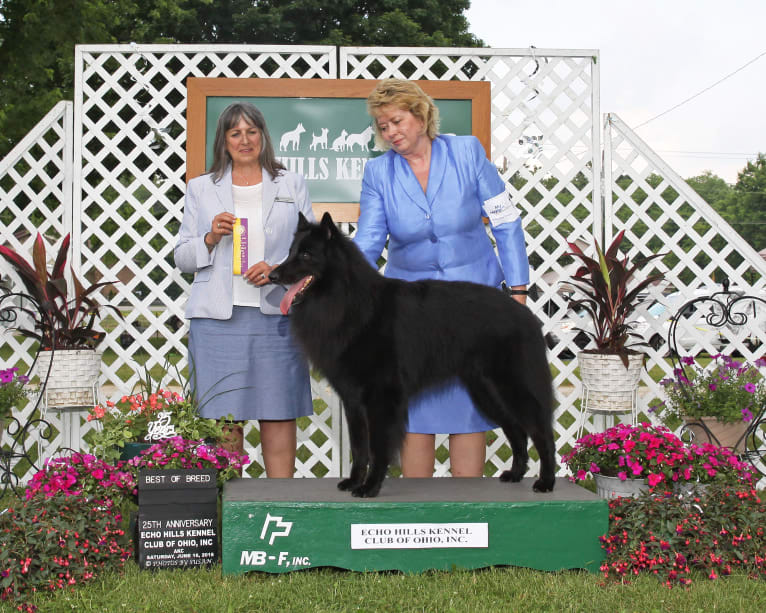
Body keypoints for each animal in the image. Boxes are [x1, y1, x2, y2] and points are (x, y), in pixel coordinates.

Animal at [272, 213, 560, 494]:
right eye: (291, 251)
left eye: (306, 255)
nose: (273, 275)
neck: (346, 300)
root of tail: (526, 314)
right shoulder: (353, 400)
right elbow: (359, 447)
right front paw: (354, 481)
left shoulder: (381, 398)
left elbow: (378, 448)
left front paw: (370, 486)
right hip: (486, 393)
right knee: (517, 431)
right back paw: (516, 473)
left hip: (513, 388)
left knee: (542, 433)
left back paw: (546, 481)